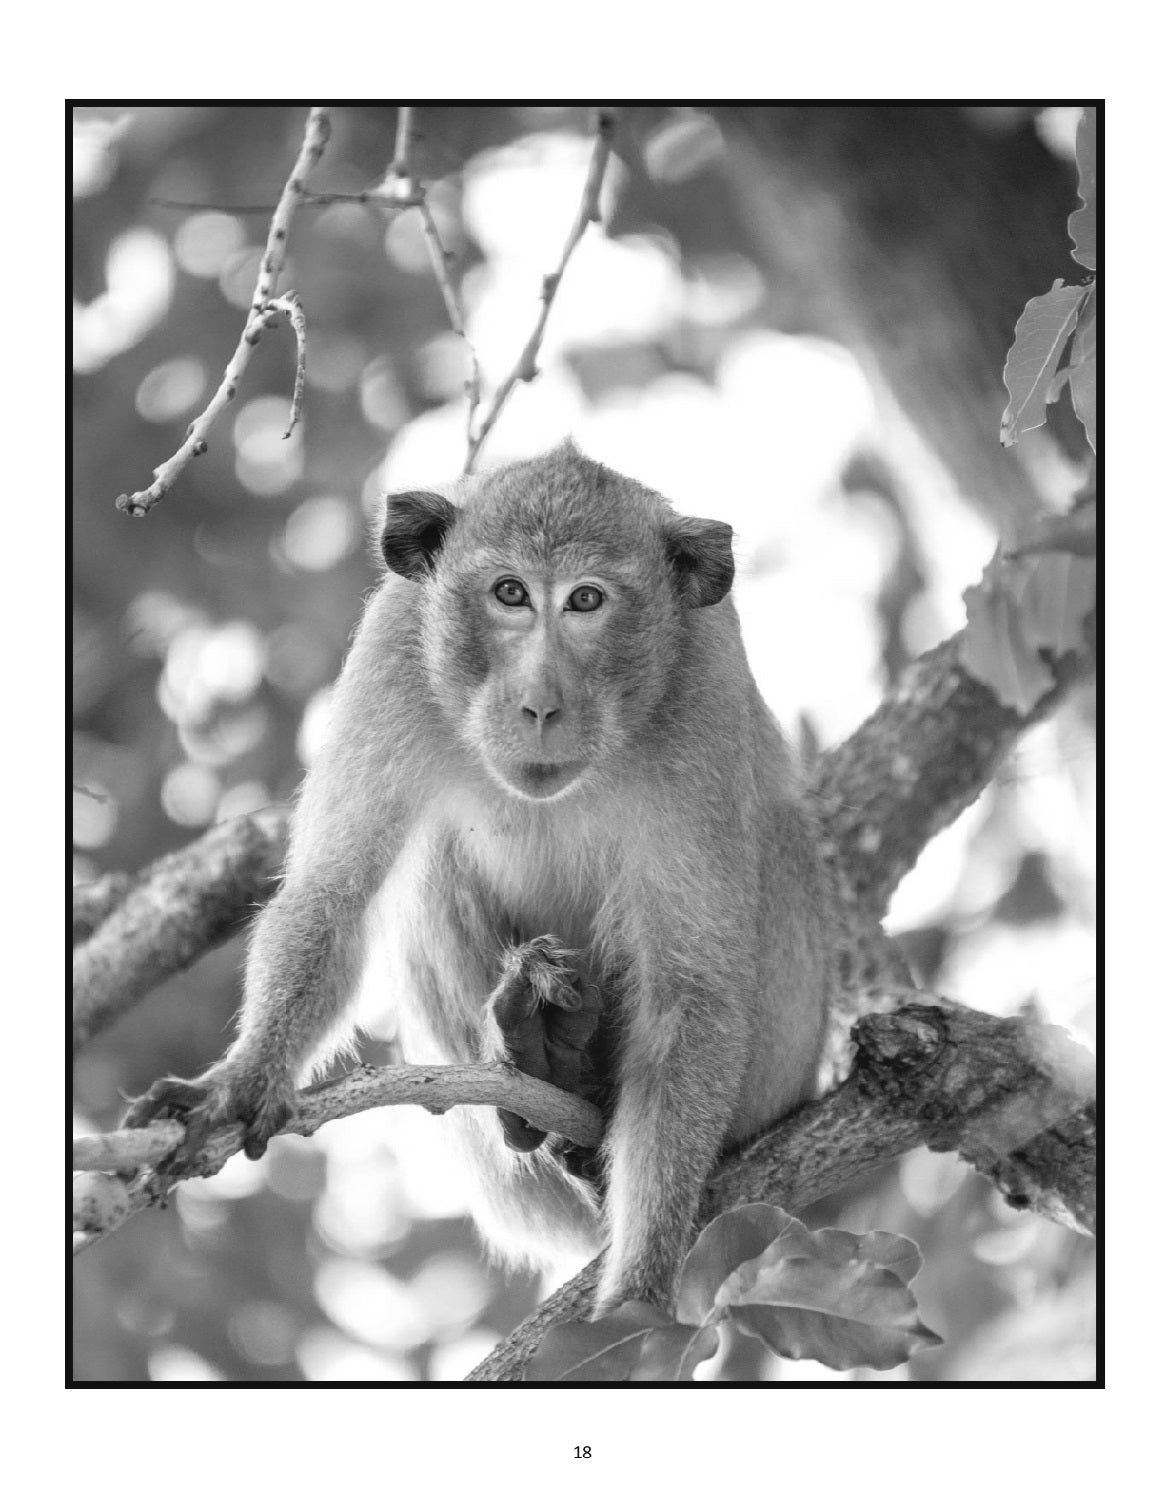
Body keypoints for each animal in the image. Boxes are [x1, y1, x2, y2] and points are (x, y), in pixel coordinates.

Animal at [126, 441, 833, 1316]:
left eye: (586, 601)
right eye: (509, 594)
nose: (539, 704)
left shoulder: (705, 689)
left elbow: (690, 990)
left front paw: (637, 1291)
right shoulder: (394, 648)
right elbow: (332, 892)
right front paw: (244, 1077)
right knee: (430, 869)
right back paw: (540, 1060)